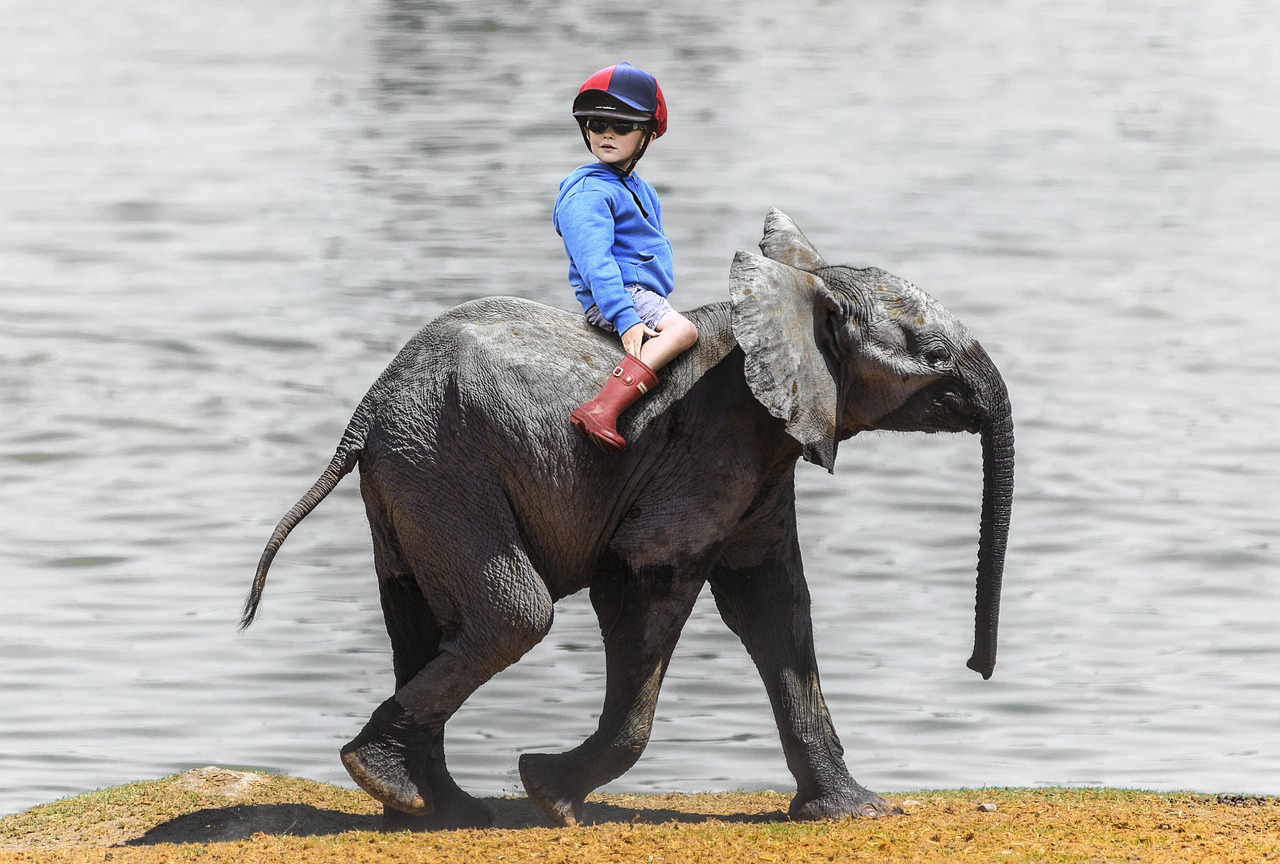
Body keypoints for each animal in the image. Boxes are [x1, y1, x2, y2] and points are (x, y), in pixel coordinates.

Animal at [240, 209, 1014, 830]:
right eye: (933, 356)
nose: (977, 669)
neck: (791, 294)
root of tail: (367, 410)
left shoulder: (763, 460)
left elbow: (773, 605)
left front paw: (856, 812)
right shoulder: (708, 447)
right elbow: (642, 582)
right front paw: (548, 793)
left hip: (412, 469)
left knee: (420, 617)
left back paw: (430, 807)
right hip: (443, 463)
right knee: (514, 615)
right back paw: (397, 784)